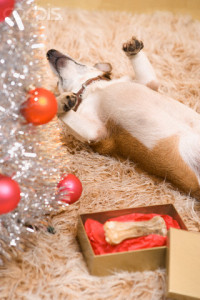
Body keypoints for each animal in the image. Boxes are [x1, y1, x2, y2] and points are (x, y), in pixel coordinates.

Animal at [46, 36, 200, 199]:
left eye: (80, 62)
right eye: (58, 82)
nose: (49, 52)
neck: (91, 89)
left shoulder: (148, 82)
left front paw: (133, 48)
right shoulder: (95, 132)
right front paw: (58, 102)